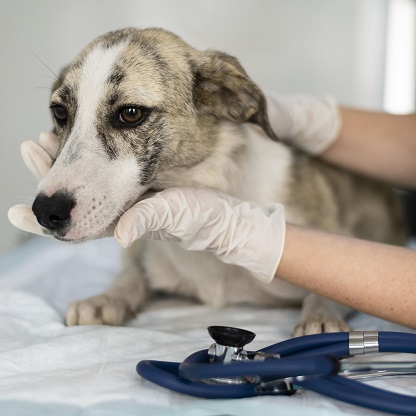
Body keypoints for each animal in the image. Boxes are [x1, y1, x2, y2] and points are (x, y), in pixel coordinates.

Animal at [31, 28, 406, 334]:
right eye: (60, 112)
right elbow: (131, 273)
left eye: (130, 113)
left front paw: (321, 316)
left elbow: (331, 288)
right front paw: (107, 297)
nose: (46, 211)